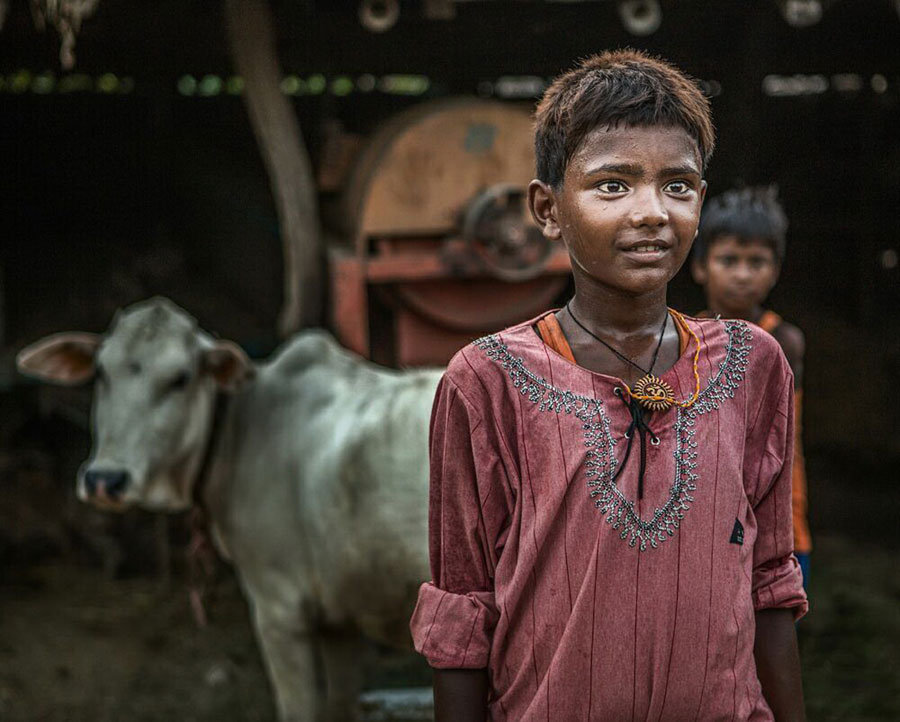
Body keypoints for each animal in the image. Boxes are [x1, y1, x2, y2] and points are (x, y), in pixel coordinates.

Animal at [17, 296, 442, 716]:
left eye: (180, 378)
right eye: (102, 372)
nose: (105, 479)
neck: (236, 432)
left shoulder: (279, 607)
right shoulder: (340, 618)